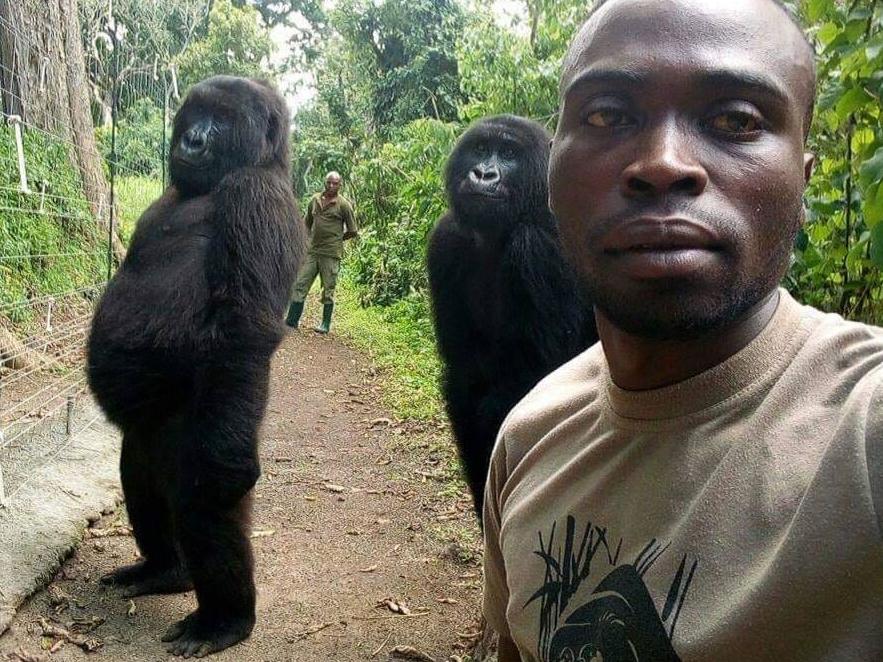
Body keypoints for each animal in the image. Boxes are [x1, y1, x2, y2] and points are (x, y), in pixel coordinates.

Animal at [89, 78, 304, 660]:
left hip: (201, 431)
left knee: (205, 506)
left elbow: (242, 333)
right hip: (148, 438)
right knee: (139, 477)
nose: (193, 139)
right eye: (197, 113)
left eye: (223, 120)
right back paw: (164, 570)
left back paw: (224, 620)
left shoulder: (256, 197)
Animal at [426, 116, 592, 520]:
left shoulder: (540, 247)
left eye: (510, 154)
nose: (484, 174)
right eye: (481, 149)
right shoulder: (445, 239)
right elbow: (465, 384)